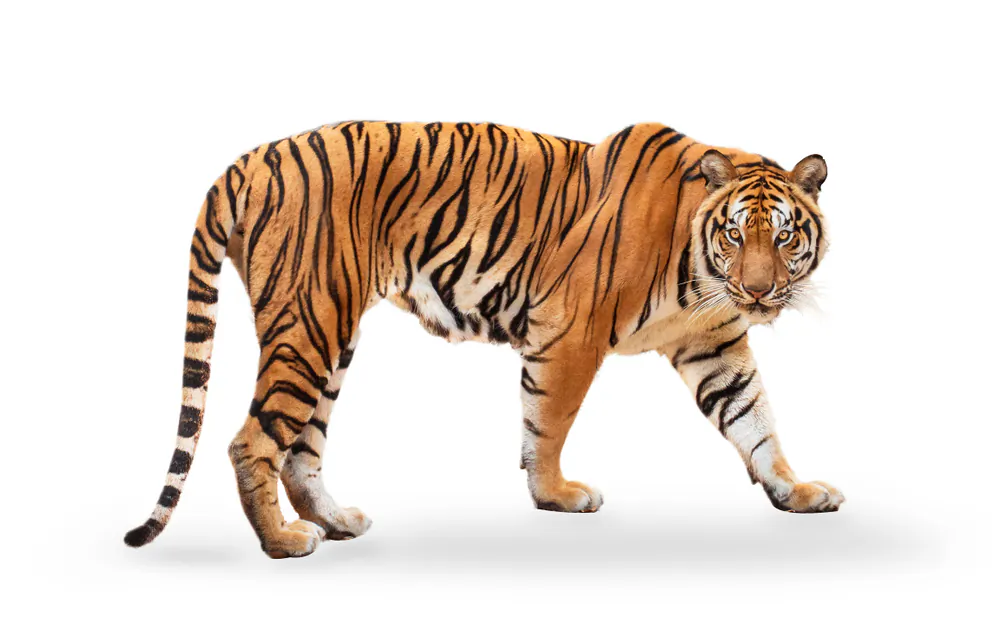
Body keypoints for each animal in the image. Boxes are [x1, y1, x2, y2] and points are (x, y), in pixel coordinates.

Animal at [124, 121, 840, 558]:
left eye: (783, 236)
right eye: (735, 234)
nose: (759, 292)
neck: (700, 275)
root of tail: (249, 159)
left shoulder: (714, 347)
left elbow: (756, 423)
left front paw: (797, 492)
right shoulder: (568, 334)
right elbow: (547, 422)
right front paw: (557, 496)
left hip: (330, 338)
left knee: (301, 449)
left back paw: (336, 523)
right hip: (308, 324)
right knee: (252, 442)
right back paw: (283, 542)